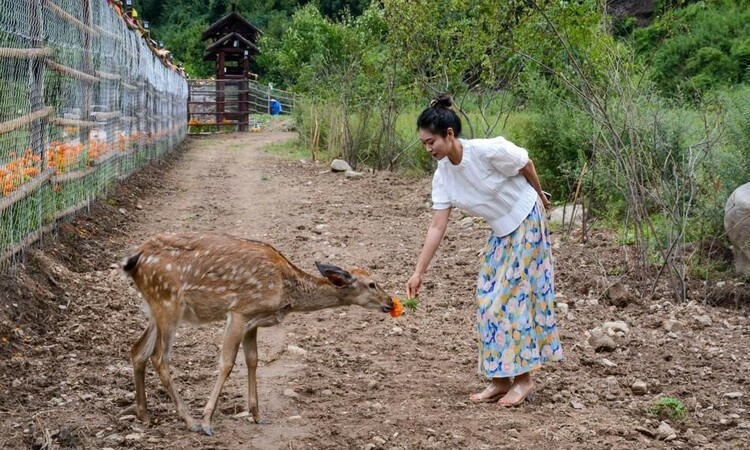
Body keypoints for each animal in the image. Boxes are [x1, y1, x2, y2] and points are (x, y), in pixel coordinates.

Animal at [119, 230, 394, 434]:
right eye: (372, 284)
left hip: (154, 307)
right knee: (159, 358)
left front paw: (257, 414)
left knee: (137, 350)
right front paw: (208, 421)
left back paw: (144, 415)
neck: (284, 290)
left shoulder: (253, 321)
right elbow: (227, 363)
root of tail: (134, 259)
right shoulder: (240, 311)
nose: (390, 303)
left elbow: (253, 360)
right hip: (168, 303)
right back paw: (190, 420)